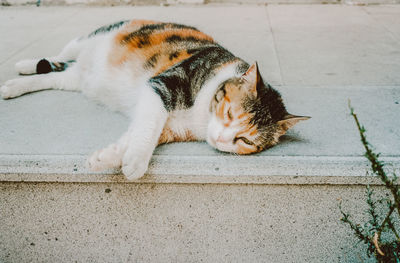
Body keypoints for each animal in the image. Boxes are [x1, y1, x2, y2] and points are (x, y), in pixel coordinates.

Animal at [0, 19, 310, 182]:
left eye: (245, 140)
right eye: (230, 113)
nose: (223, 139)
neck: (200, 117)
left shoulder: (172, 126)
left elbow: (140, 131)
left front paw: (108, 156)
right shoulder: (163, 84)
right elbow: (149, 125)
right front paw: (135, 161)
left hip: (76, 79)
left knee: (56, 76)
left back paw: (17, 85)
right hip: (92, 37)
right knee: (60, 56)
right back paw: (23, 65)